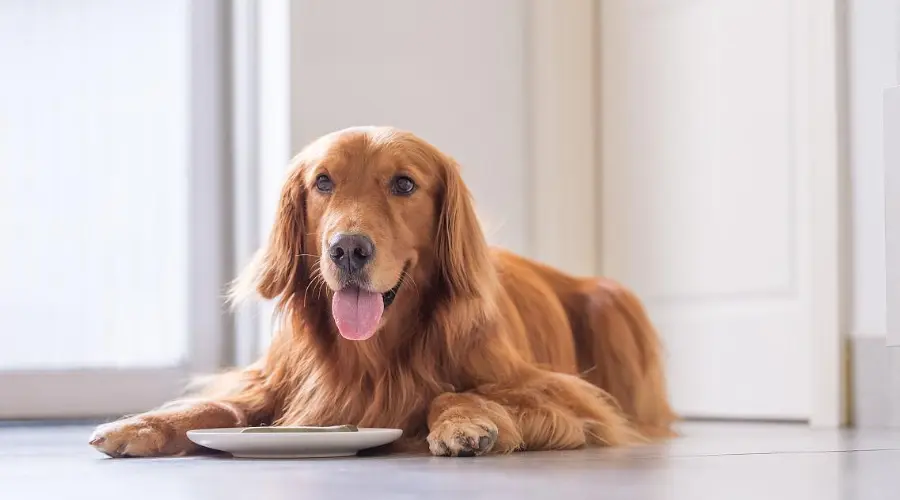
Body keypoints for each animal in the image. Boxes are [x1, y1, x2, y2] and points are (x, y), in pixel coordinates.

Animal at [89, 126, 676, 458]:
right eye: (323, 182)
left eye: (404, 184)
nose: (348, 249)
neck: (372, 354)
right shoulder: (274, 384)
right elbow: (222, 407)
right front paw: (143, 423)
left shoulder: (567, 397)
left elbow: (455, 391)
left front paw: (466, 423)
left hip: (613, 303)